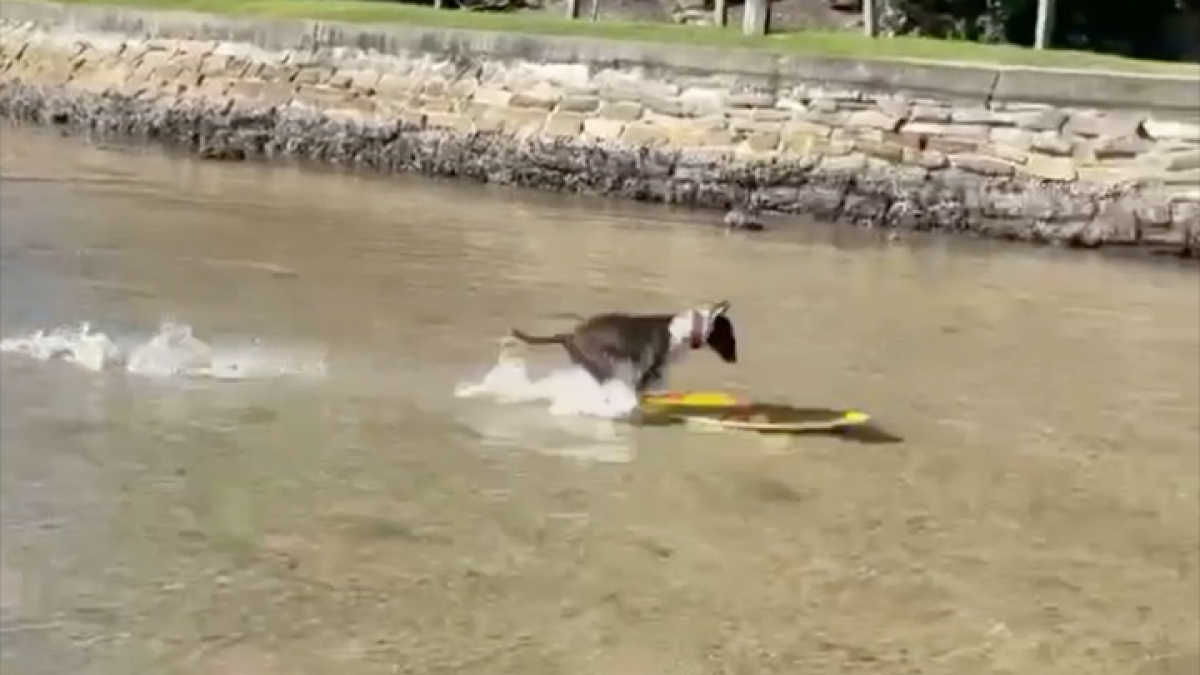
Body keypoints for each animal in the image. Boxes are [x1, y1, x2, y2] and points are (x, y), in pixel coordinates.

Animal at [504, 297, 729, 391]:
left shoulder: (660, 370)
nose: (726, 302)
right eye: (713, 307)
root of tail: (570, 335)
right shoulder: (648, 366)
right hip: (600, 363)